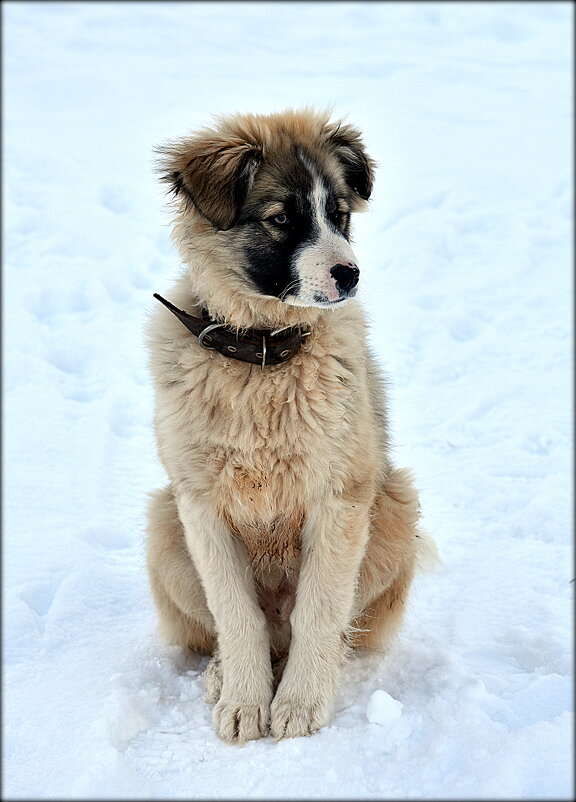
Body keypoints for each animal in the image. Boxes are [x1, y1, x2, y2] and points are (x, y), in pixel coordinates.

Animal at [145, 108, 436, 744]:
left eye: (340, 214)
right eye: (281, 219)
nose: (350, 275)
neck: (262, 356)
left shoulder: (340, 498)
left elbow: (319, 610)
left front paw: (299, 706)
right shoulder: (200, 505)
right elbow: (236, 614)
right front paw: (245, 703)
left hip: (395, 506)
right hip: (163, 523)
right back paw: (221, 674)